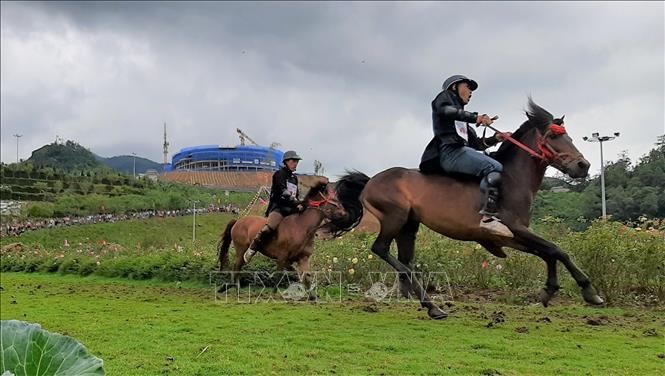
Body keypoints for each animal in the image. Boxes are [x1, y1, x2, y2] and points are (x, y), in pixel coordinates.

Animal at [218, 181, 348, 298]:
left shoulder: (303, 258)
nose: (346, 214)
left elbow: (305, 275)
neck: (302, 227)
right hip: (241, 249)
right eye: (334, 202)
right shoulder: (282, 257)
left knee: (238, 267)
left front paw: (312, 296)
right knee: (237, 266)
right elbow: (280, 274)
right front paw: (274, 294)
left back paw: (232, 287)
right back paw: (233, 288)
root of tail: (237, 221)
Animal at [330, 100, 604, 320]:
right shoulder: (514, 228)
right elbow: (557, 250)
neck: (513, 179)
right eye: (553, 137)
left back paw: (427, 304)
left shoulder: (508, 236)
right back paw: (430, 303)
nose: (584, 165)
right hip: (393, 219)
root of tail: (371, 180)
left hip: (408, 226)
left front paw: (549, 291)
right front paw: (589, 291)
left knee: (405, 262)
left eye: (570, 138)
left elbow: (549, 253)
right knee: (382, 250)